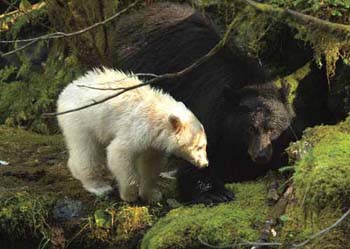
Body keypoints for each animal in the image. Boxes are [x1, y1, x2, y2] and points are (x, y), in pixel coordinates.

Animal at [55, 67, 206, 202]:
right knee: (88, 151)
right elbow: (119, 153)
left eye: (205, 145)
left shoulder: (154, 142)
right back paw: (98, 186)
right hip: (82, 121)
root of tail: (65, 92)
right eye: (199, 146)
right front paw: (129, 195)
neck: (156, 116)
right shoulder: (137, 129)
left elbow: (150, 164)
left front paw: (152, 194)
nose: (205, 164)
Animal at [110, 2, 294, 202]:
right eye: (249, 129)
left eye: (272, 129)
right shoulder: (209, 113)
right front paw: (215, 192)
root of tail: (133, 18)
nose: (261, 155)